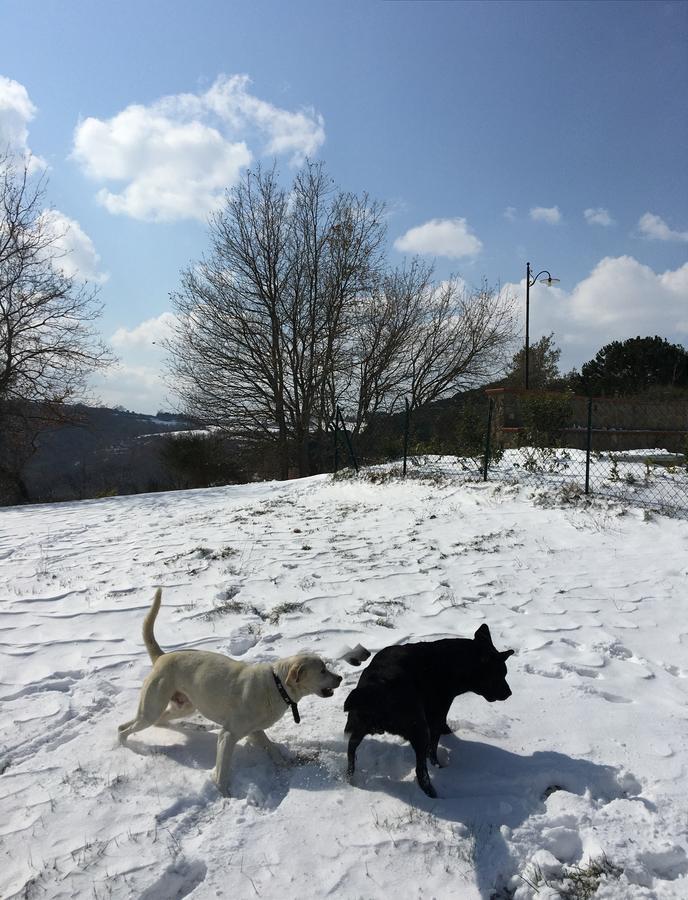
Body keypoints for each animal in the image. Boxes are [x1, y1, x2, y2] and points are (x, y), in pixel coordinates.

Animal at [121, 592, 344, 796]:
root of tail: (162, 656)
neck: (277, 685)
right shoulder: (228, 735)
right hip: (150, 710)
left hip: (182, 707)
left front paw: (283, 763)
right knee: (123, 729)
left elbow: (270, 747)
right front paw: (224, 793)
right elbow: (222, 770)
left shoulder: (255, 731)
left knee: (150, 721)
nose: (340, 678)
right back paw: (124, 746)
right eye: (322, 670)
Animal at [344, 624, 510, 800]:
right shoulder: (438, 713)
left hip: (358, 726)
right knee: (421, 771)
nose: (509, 693)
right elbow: (434, 746)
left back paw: (349, 777)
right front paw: (438, 764)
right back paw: (433, 794)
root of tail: (376, 688)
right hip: (419, 730)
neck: (453, 662)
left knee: (351, 750)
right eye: (499, 675)